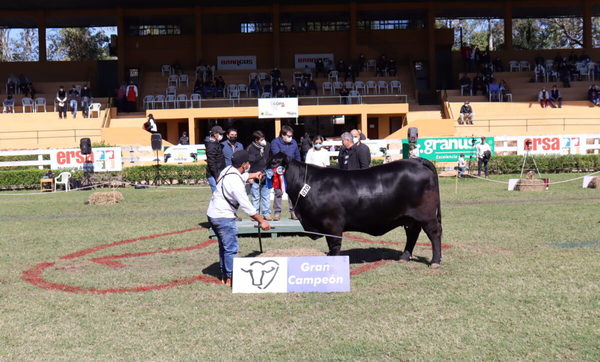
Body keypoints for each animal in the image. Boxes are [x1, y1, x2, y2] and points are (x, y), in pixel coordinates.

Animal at [270, 153, 442, 266]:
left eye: (273, 163)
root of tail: (416, 160)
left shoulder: (332, 224)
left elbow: (334, 245)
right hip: (409, 217)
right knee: (412, 233)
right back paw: (404, 257)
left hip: (426, 215)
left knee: (434, 233)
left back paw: (435, 261)